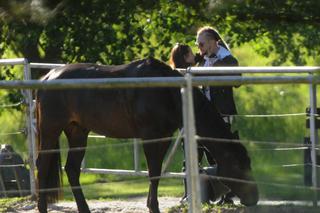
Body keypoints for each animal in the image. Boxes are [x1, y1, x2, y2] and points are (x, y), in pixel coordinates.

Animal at [36, 57, 258, 213]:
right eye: (238, 165)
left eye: (248, 162)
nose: (254, 197)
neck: (167, 93)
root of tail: (48, 77)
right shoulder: (149, 136)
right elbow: (152, 172)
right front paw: (153, 206)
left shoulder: (164, 137)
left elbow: (157, 172)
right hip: (50, 131)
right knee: (42, 165)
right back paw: (42, 207)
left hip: (78, 132)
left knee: (72, 169)